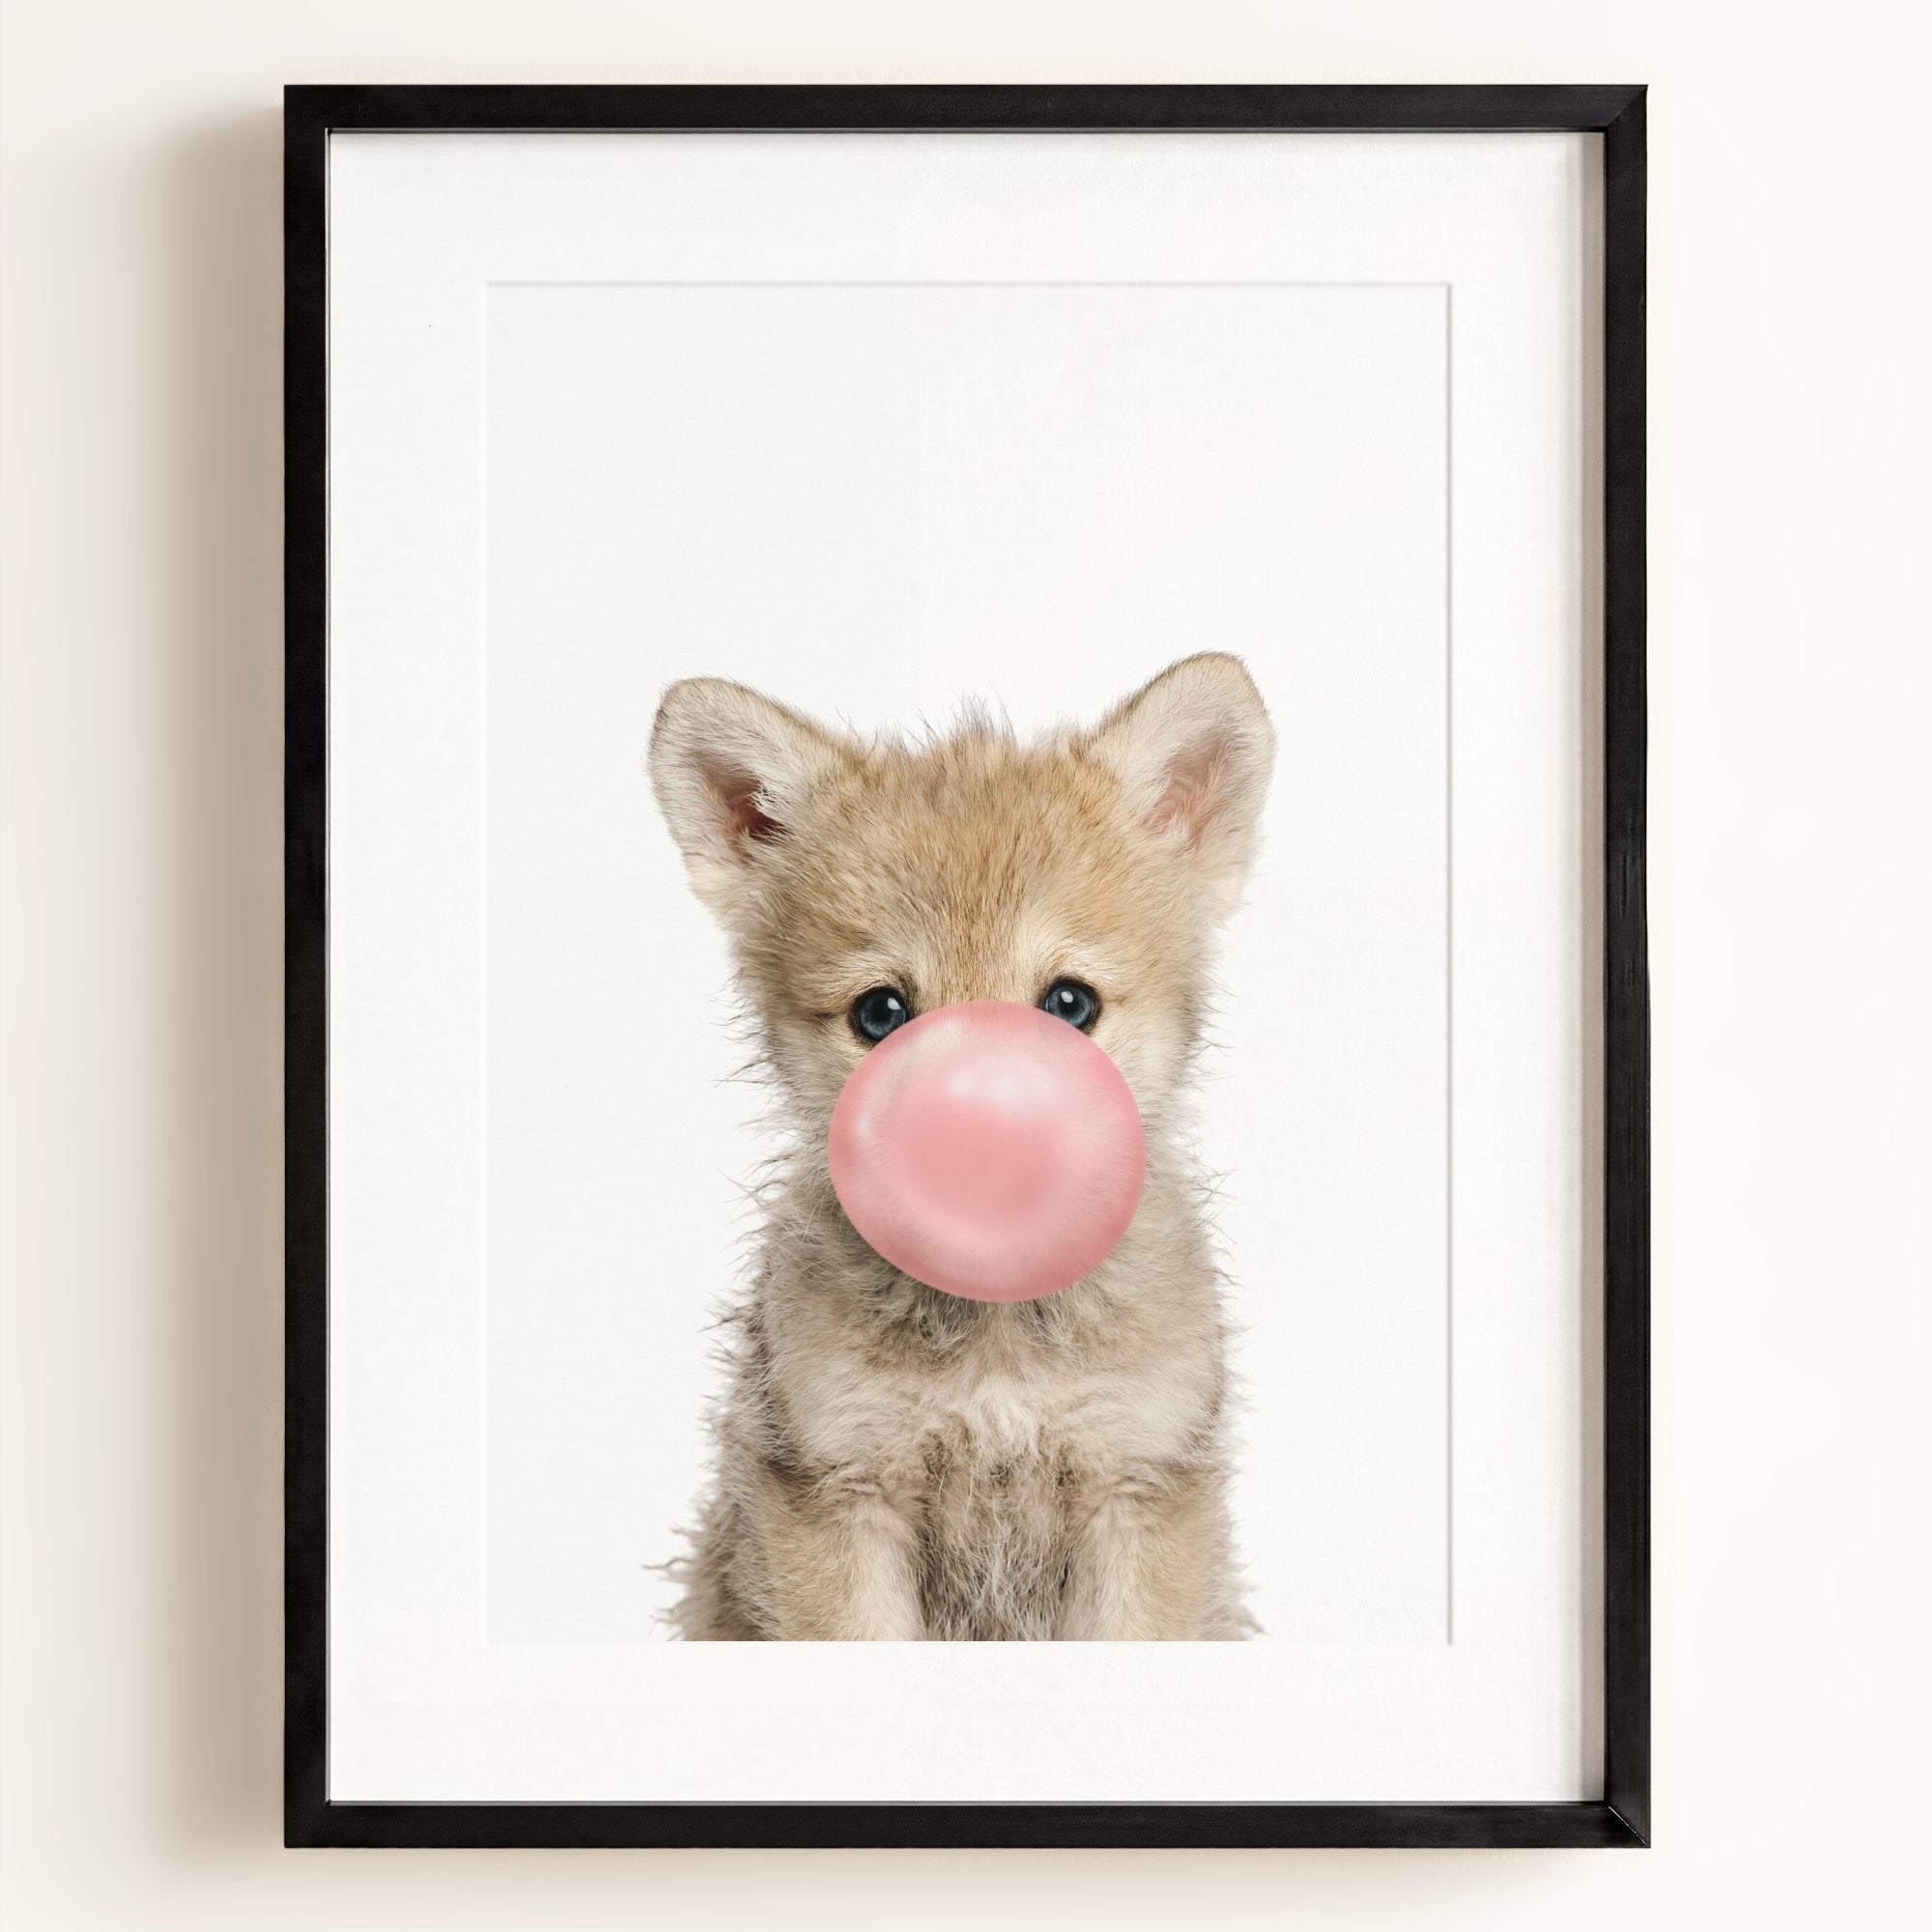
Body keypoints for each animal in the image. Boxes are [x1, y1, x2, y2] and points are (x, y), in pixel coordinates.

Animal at [648, 653, 1273, 1639]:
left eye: (1069, 1004)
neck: (997, 1346)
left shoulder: (1137, 1490)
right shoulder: (838, 1493)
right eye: (880, 1013)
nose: (979, 1144)